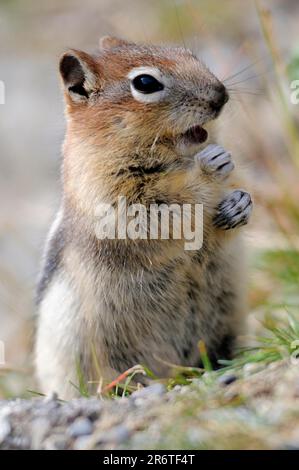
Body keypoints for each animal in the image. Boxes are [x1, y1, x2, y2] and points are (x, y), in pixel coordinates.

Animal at [35, 36, 253, 398]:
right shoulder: (119, 203)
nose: (220, 95)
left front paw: (238, 203)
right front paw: (209, 167)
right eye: (146, 83)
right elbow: (169, 214)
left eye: (189, 53)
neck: (174, 159)